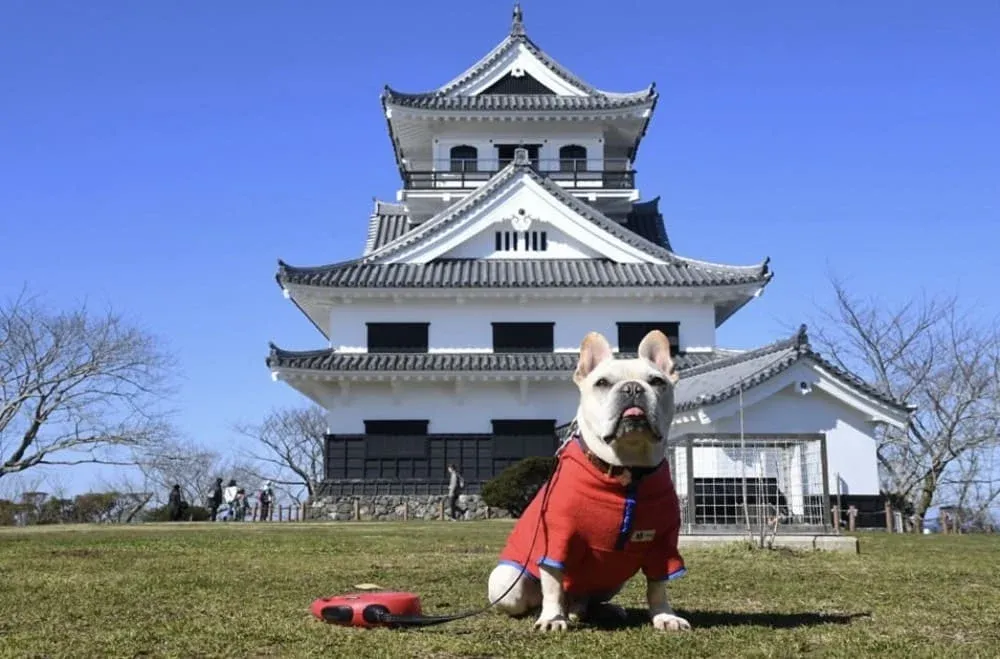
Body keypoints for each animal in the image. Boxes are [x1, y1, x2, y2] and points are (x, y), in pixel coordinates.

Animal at [486, 332, 692, 632]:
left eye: (657, 381)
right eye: (602, 383)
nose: (632, 388)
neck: (625, 470)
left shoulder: (663, 545)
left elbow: (657, 585)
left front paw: (665, 616)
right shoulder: (556, 538)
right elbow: (552, 584)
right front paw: (552, 618)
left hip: (614, 577)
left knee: (587, 601)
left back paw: (597, 610)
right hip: (506, 581)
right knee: (538, 597)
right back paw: (553, 612)